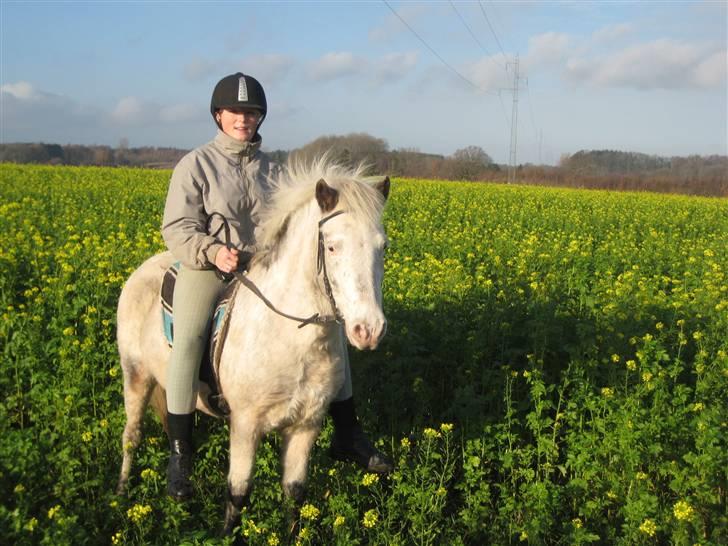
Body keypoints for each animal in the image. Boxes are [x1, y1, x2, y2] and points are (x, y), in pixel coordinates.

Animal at [115, 157, 386, 532]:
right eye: (332, 246)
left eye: (382, 247)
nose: (369, 329)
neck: (288, 338)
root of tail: (142, 269)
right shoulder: (245, 425)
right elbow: (238, 494)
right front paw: (227, 535)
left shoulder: (306, 425)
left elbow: (294, 493)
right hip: (135, 375)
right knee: (132, 436)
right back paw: (123, 495)